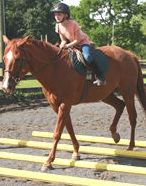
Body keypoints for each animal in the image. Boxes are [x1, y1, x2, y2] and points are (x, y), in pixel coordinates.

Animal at [1, 35, 145, 171]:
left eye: (18, 59)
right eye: (4, 58)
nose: (6, 86)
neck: (55, 68)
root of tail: (128, 54)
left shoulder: (65, 104)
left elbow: (57, 133)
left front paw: (48, 162)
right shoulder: (57, 106)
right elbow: (69, 128)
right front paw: (76, 152)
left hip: (127, 91)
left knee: (132, 117)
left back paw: (130, 147)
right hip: (105, 94)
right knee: (120, 106)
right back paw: (115, 135)